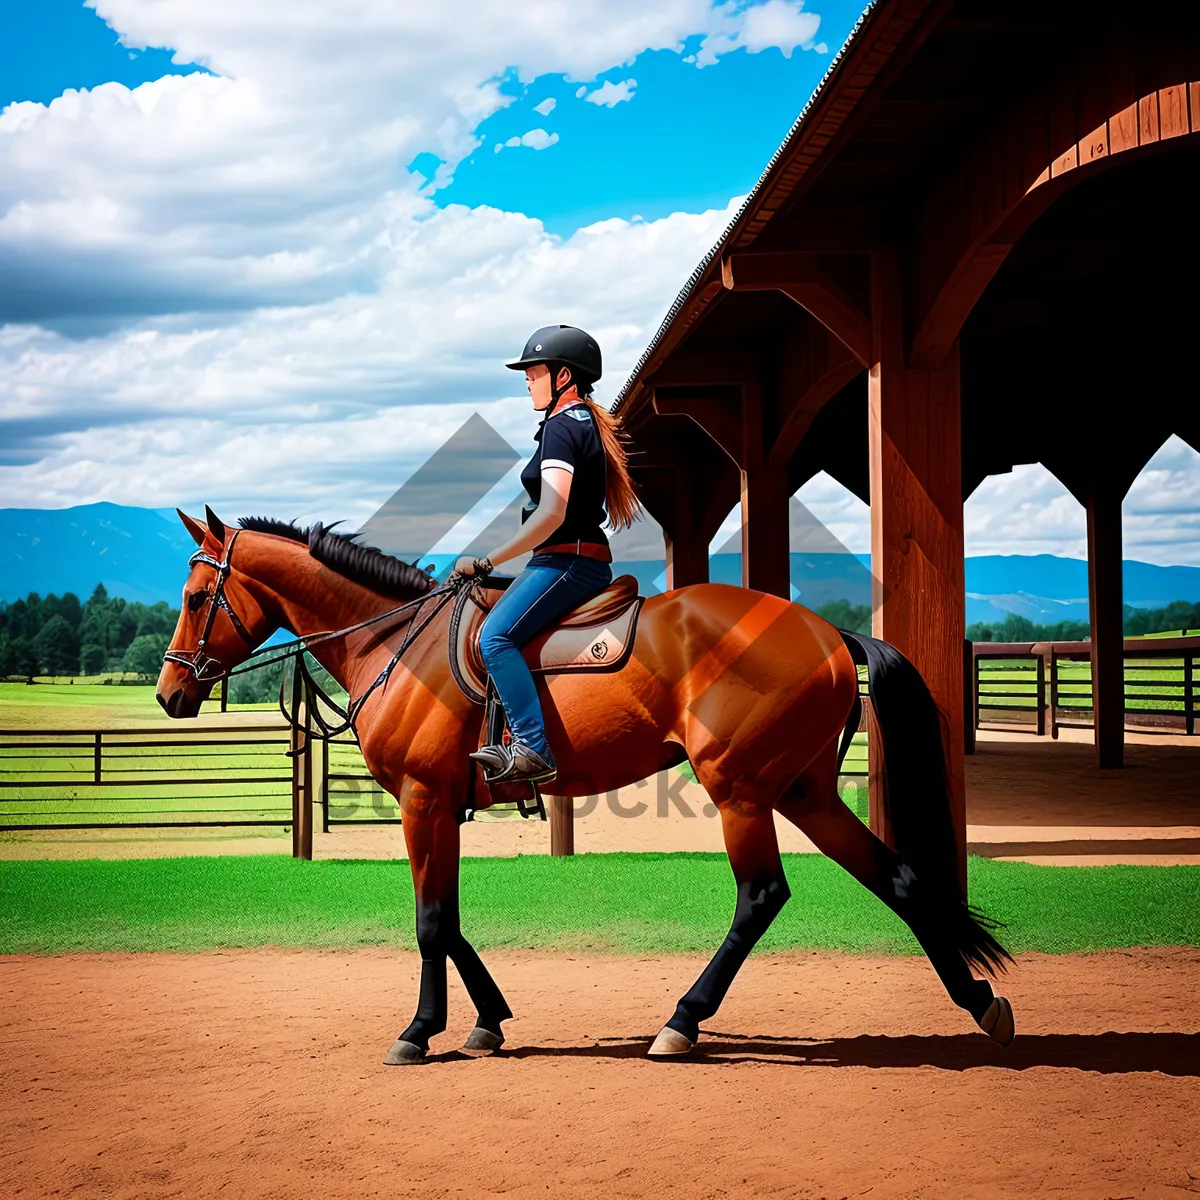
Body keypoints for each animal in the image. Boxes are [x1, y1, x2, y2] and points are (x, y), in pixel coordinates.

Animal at [152, 504, 1012, 1060]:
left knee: (762, 895)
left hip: (739, 789)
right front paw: (488, 1021)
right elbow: (451, 918)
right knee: (897, 879)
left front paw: (419, 1031)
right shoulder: (443, 806)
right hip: (802, 790)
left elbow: (431, 921)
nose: (170, 693)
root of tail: (827, 630)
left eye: (196, 597)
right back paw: (980, 1005)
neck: (396, 642)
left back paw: (682, 1022)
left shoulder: (422, 800)